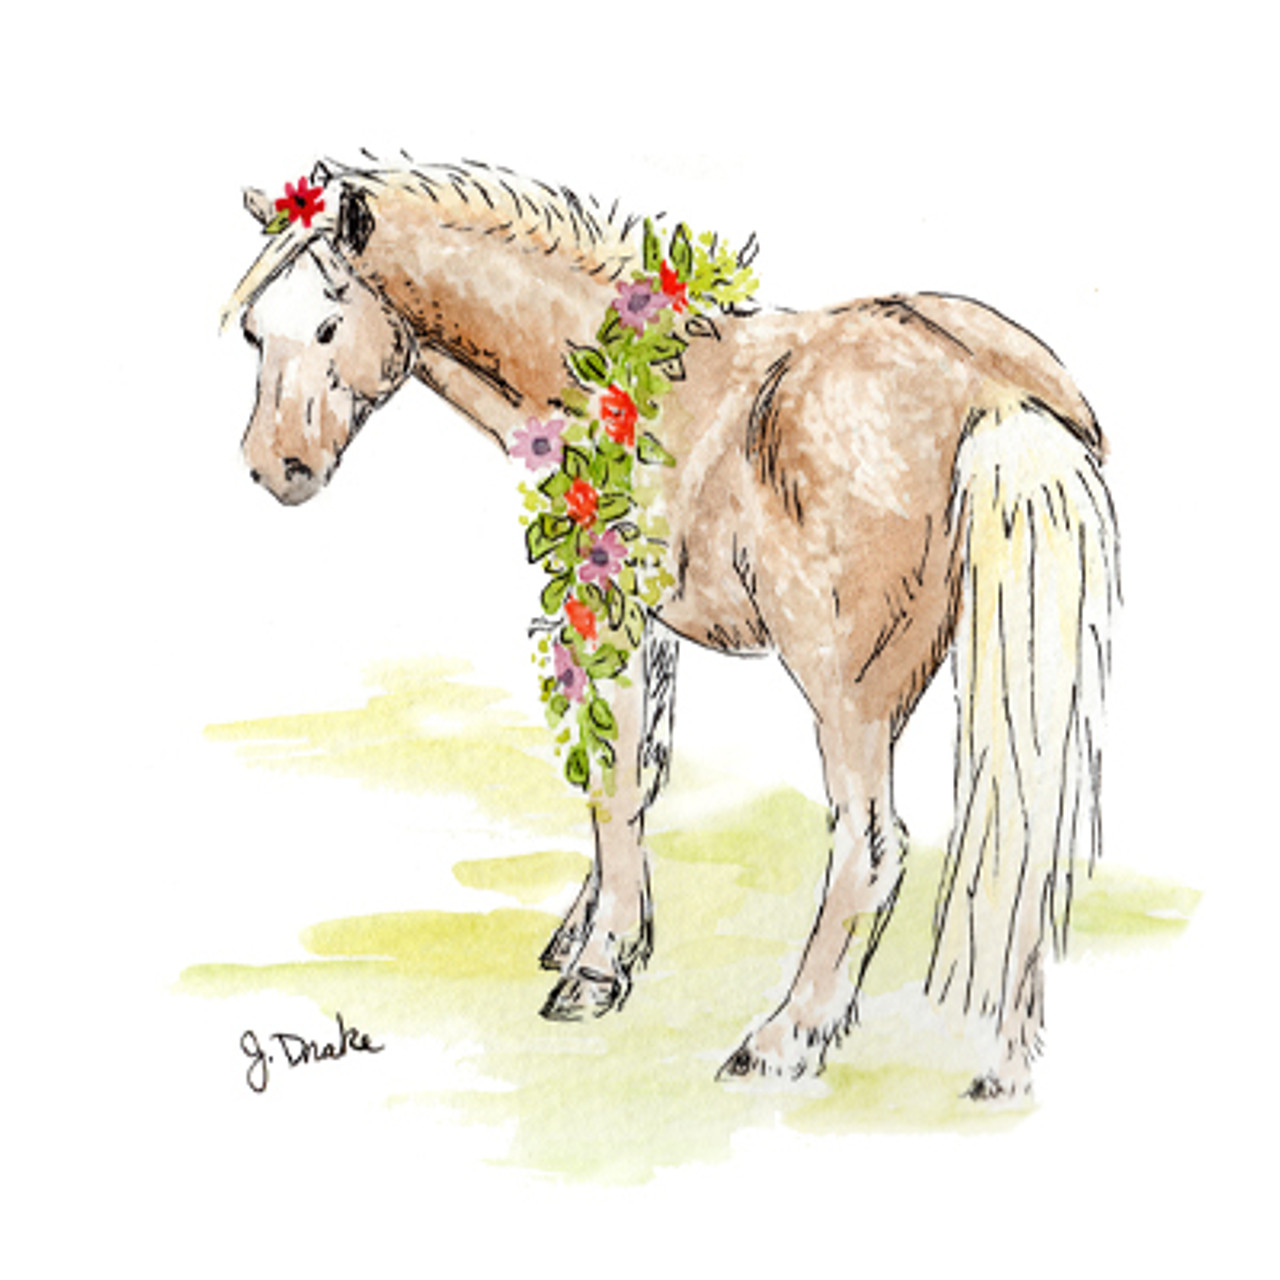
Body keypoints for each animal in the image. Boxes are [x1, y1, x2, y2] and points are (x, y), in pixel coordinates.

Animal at [223, 159, 1118, 1098]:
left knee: (871, 849)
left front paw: (598, 967)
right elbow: (642, 769)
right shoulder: (650, 624)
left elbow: (610, 783)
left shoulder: (605, 610)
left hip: (848, 694)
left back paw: (785, 1038)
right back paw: (1006, 1063)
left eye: (327, 325)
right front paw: (594, 934)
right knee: (1026, 834)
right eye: (253, 332)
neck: (602, 373)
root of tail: (991, 388)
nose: (274, 467)